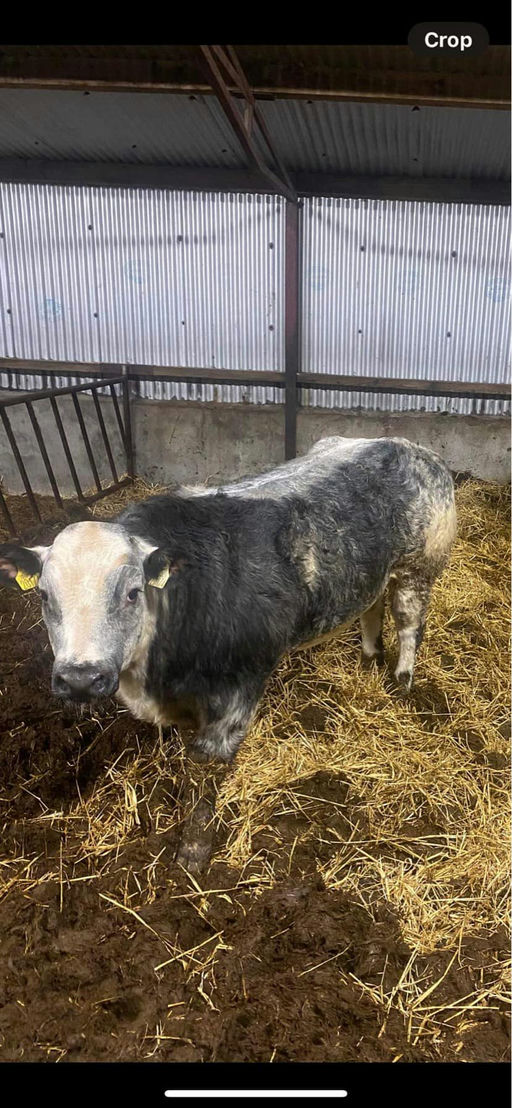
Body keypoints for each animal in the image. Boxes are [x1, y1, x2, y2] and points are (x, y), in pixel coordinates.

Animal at [0, 436, 456, 864]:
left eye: (132, 593)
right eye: (43, 595)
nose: (80, 678)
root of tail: (410, 447)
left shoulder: (236, 695)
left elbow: (204, 776)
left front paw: (193, 854)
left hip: (418, 572)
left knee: (409, 624)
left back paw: (402, 680)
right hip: (373, 576)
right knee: (371, 609)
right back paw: (368, 659)